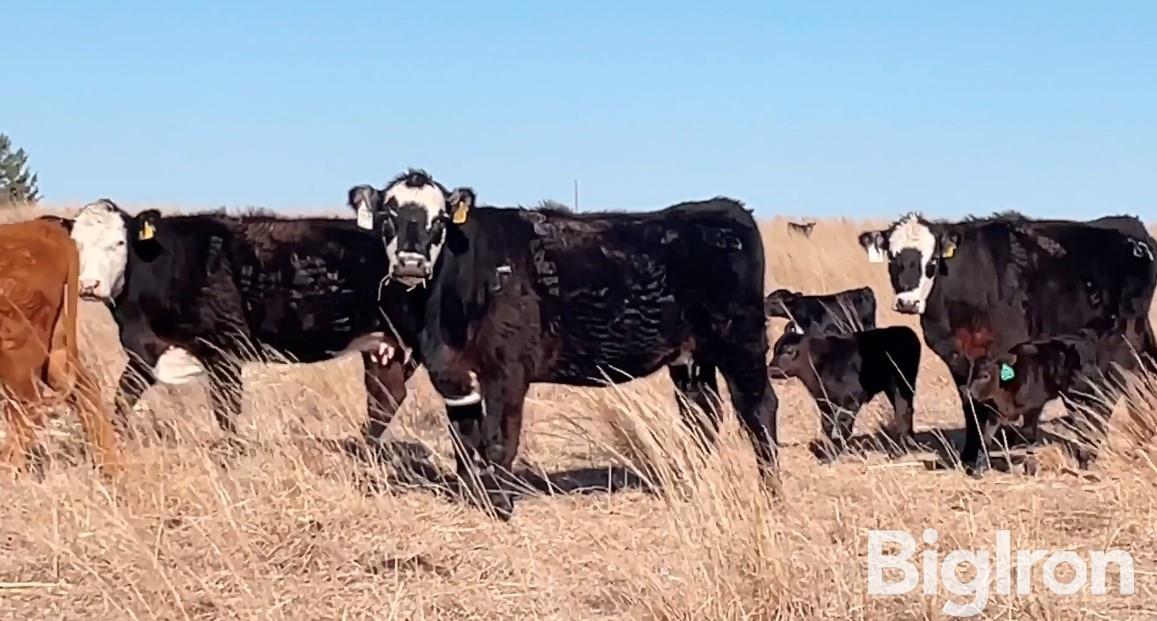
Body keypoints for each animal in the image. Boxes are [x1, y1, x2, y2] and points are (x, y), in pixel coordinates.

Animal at [62, 198, 416, 446]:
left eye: (119, 243)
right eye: (76, 244)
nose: (89, 285)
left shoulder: (225, 350)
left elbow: (226, 411)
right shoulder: (149, 350)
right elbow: (123, 398)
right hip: (382, 346)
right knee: (386, 396)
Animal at [351, 168, 782, 518]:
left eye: (439, 219)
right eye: (388, 216)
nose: (411, 263)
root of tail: (724, 208)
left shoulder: (508, 372)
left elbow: (498, 440)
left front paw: (500, 507)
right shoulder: (452, 374)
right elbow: (466, 441)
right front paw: (474, 498)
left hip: (741, 340)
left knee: (758, 410)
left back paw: (771, 494)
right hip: (692, 357)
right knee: (702, 417)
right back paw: (694, 485)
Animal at [768, 321, 920, 457]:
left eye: (789, 351)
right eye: (775, 349)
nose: (770, 369)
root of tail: (904, 330)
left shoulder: (851, 400)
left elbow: (844, 426)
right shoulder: (824, 402)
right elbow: (827, 426)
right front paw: (828, 452)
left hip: (903, 385)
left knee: (904, 410)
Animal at [860, 210, 1157, 471]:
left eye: (931, 262)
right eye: (893, 259)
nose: (907, 303)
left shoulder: (1002, 351)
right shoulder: (958, 358)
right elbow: (970, 404)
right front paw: (970, 455)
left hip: (1119, 343)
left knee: (1110, 392)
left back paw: (1089, 448)